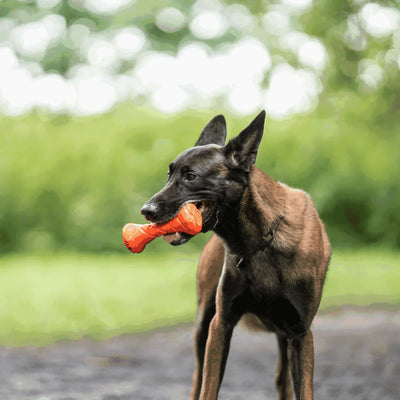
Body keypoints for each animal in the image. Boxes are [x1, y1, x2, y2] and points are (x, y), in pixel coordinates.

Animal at [141, 110, 332, 400]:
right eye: (169, 174)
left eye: (191, 176)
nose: (146, 211)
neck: (259, 243)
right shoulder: (221, 324)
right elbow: (208, 387)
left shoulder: (300, 333)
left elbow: (304, 390)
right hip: (203, 325)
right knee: (197, 378)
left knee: (281, 379)